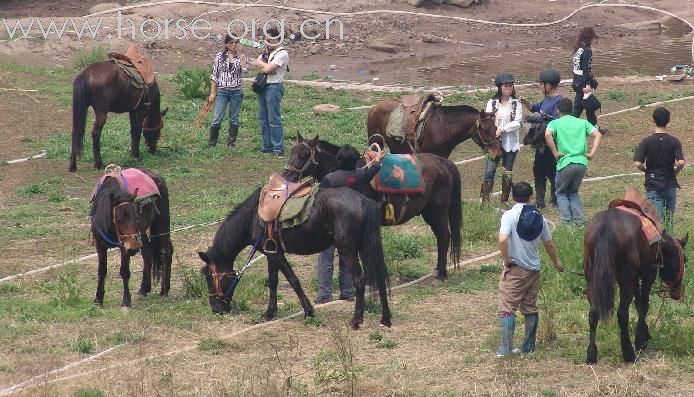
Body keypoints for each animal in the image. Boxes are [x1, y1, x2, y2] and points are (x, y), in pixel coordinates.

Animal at [90, 167, 173, 306]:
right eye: (118, 219)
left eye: (137, 216)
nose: (133, 248)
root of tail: (157, 177)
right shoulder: (100, 244)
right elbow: (101, 271)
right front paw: (98, 299)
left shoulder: (125, 246)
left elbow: (124, 271)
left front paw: (126, 301)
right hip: (141, 234)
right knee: (147, 252)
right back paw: (144, 289)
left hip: (161, 224)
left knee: (165, 251)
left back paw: (164, 291)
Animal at [197, 187, 392, 330]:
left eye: (209, 277)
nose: (215, 308)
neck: (254, 216)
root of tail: (364, 201)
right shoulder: (270, 253)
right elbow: (273, 282)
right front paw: (270, 313)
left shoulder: (275, 254)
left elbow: (292, 280)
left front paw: (308, 311)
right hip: (364, 247)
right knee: (379, 278)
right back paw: (385, 319)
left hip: (348, 250)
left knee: (359, 280)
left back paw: (356, 320)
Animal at [282, 136, 462, 282]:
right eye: (292, 151)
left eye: (304, 154)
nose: (286, 176)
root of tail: (444, 162)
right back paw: (438, 270)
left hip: (437, 211)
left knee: (444, 237)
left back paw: (441, 274)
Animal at [370, 98, 500, 159]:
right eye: (484, 130)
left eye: (495, 128)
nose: (497, 154)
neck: (443, 126)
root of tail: (374, 107)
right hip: (376, 143)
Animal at [584, 209, 688, 364]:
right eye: (684, 260)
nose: (677, 292)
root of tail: (606, 226)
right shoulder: (648, 274)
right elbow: (643, 305)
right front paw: (640, 341)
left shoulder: (636, 277)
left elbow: (638, 304)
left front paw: (644, 334)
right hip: (625, 281)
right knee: (622, 313)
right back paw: (629, 353)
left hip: (591, 279)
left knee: (593, 313)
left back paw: (591, 354)